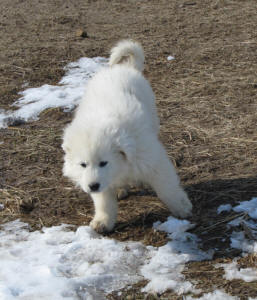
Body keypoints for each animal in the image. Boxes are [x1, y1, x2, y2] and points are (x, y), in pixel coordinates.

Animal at [61, 39, 190, 232]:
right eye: (83, 164)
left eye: (104, 162)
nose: (93, 186)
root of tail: (123, 68)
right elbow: (103, 201)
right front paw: (103, 221)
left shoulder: (152, 158)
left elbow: (166, 186)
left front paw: (181, 207)